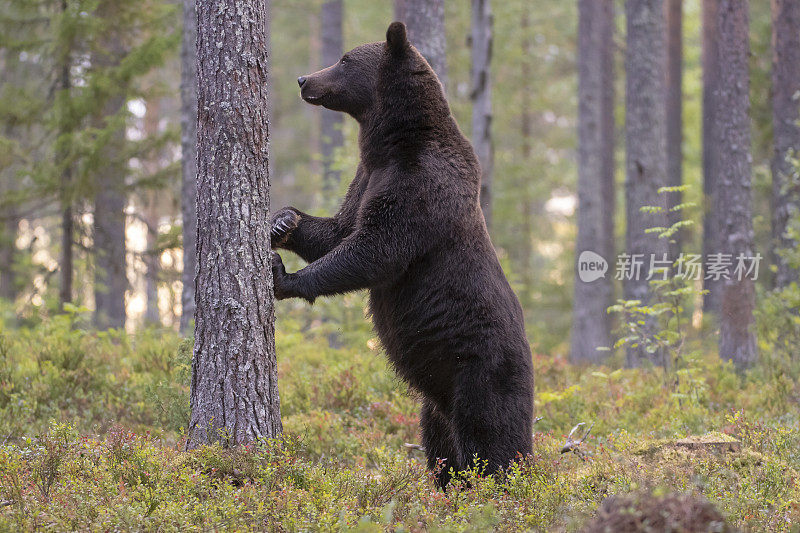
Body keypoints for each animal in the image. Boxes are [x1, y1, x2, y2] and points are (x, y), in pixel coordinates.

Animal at [272, 20, 536, 486]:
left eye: (343, 59)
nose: (304, 80)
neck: (394, 141)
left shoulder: (420, 185)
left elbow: (375, 249)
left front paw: (283, 277)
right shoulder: (366, 178)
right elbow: (339, 229)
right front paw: (283, 222)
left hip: (480, 367)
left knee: (492, 437)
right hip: (435, 399)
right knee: (441, 443)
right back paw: (447, 486)